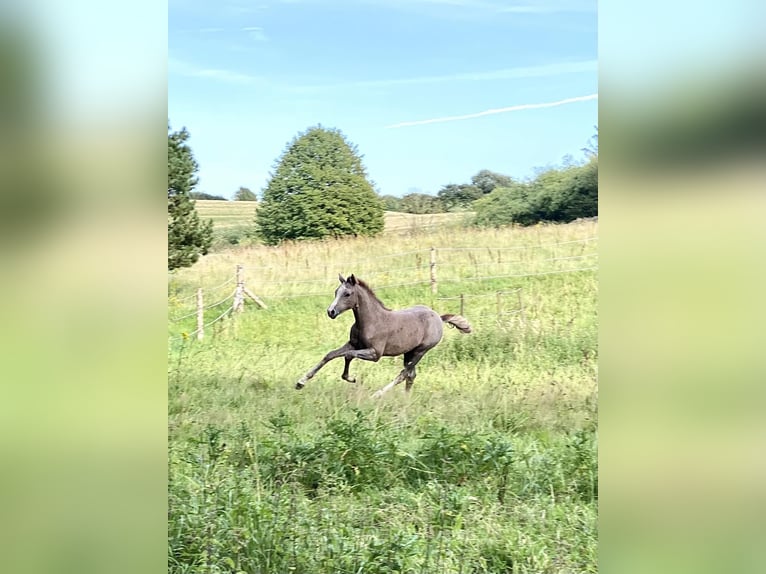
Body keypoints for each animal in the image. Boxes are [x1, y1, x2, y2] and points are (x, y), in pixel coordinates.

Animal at [296, 276, 472, 398]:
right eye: (335, 292)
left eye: (347, 294)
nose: (330, 312)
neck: (371, 321)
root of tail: (439, 318)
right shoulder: (353, 344)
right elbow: (331, 355)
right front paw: (300, 382)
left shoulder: (375, 354)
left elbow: (347, 355)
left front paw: (351, 378)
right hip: (409, 352)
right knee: (411, 375)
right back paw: (405, 399)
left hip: (421, 351)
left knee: (403, 374)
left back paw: (377, 395)